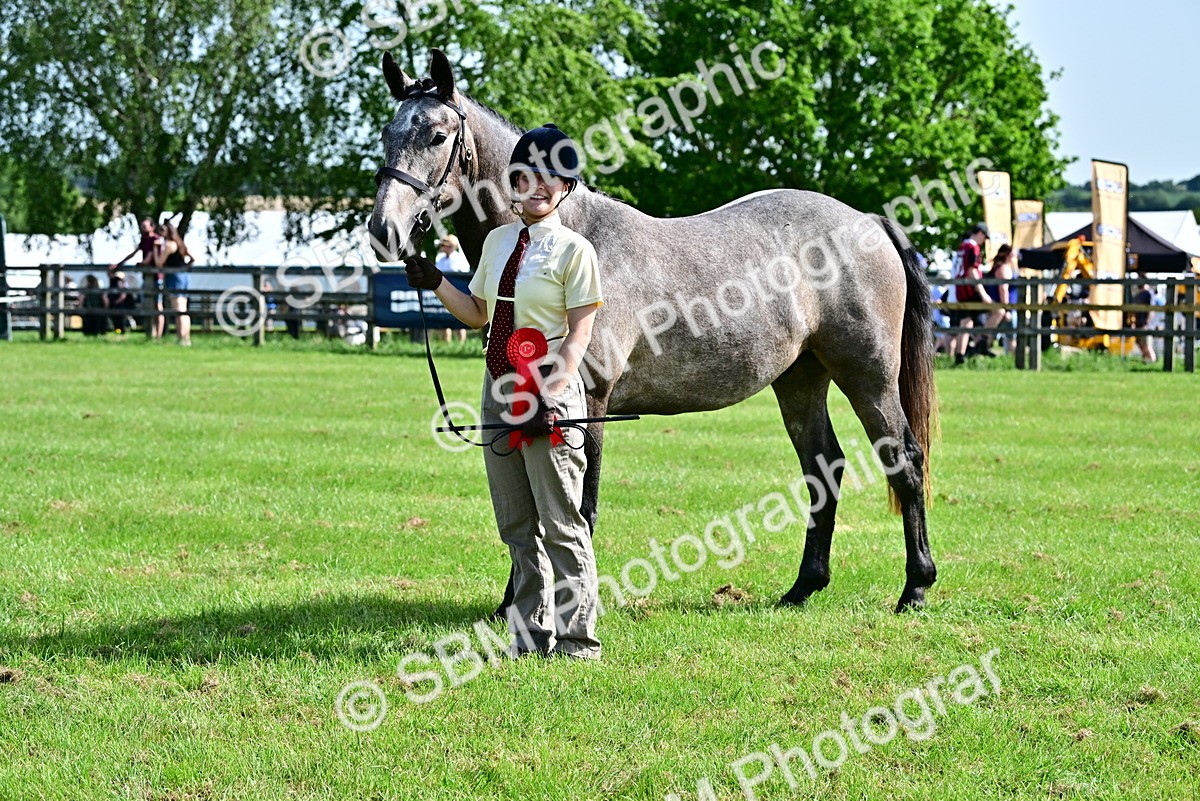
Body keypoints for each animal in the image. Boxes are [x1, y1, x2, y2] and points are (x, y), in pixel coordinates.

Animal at [369, 49, 938, 613]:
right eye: (387, 133)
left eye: (438, 135)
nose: (383, 231)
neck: (567, 233)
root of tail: (868, 220)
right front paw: (516, 603)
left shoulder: (589, 403)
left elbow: (579, 510)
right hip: (800, 378)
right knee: (824, 467)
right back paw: (804, 587)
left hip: (868, 375)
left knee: (904, 460)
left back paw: (915, 586)